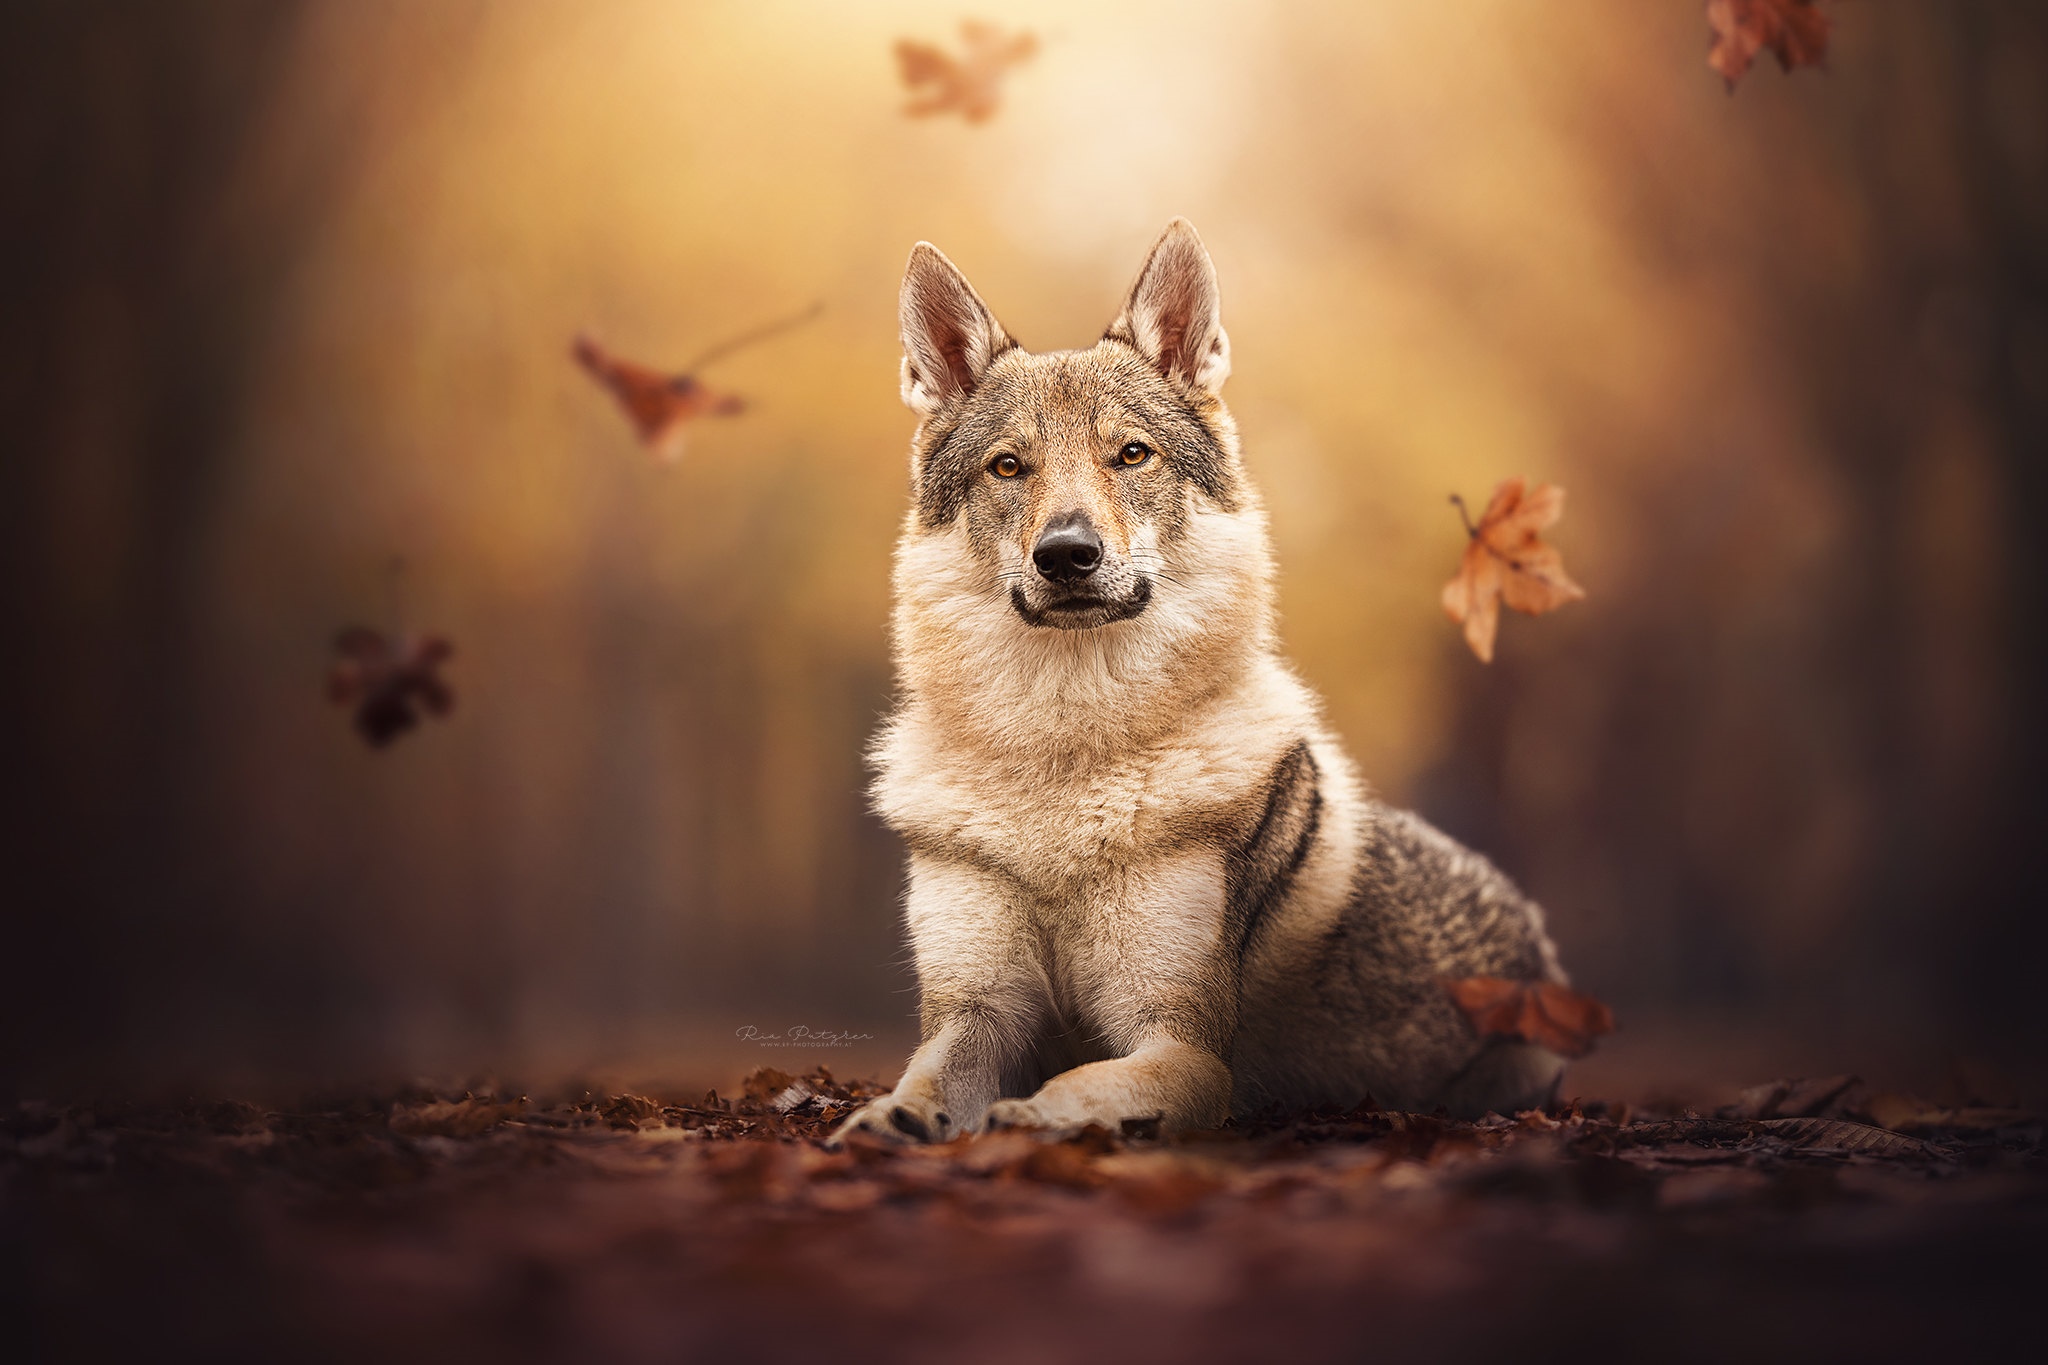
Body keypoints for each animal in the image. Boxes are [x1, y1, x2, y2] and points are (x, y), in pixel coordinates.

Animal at [831, 220, 1571, 1146]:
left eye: (1131, 455)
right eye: (1008, 467)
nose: (1067, 554)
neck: (1063, 759)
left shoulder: (1184, 1043)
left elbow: (1085, 1084)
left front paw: (1030, 1117)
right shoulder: (978, 1009)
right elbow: (927, 1073)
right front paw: (887, 1119)